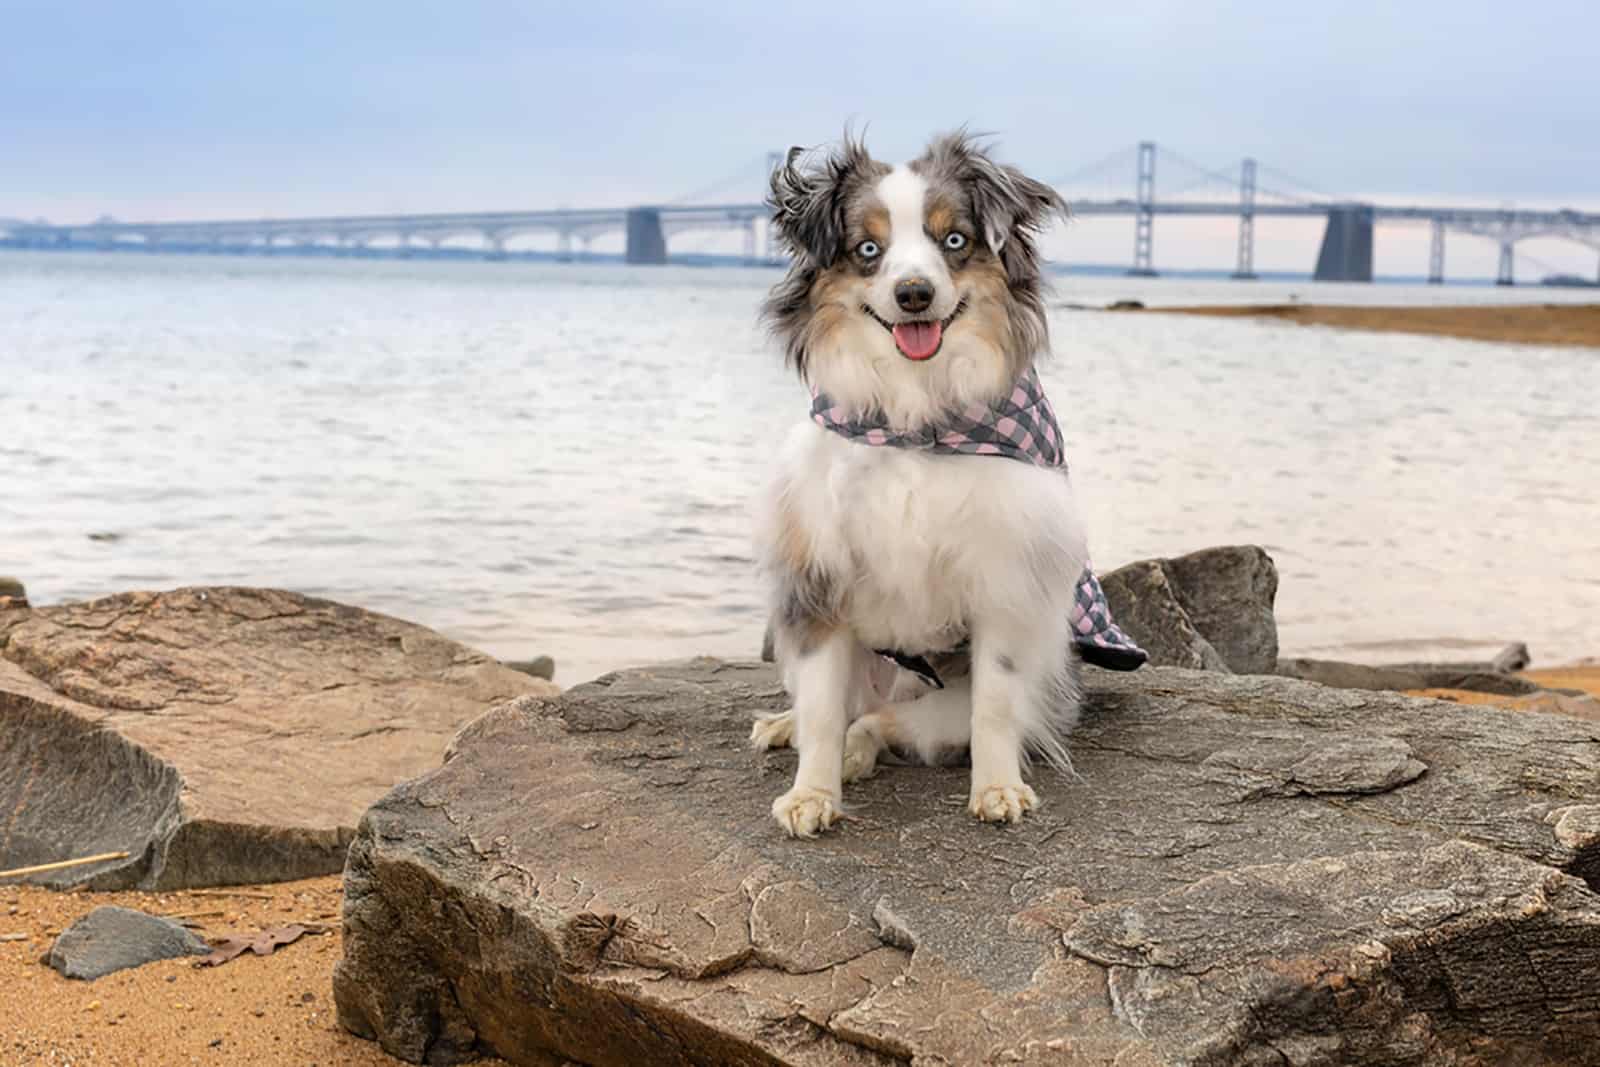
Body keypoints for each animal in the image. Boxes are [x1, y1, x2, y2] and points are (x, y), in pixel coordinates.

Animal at [748, 129, 1088, 838]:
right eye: (867, 250)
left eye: (953, 239)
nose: (913, 294)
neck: (915, 419)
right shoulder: (816, 577)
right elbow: (821, 710)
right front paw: (811, 793)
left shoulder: (1004, 578)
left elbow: (994, 702)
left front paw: (997, 788)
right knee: (846, 710)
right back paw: (792, 729)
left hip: (942, 706)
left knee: (883, 723)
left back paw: (860, 752)